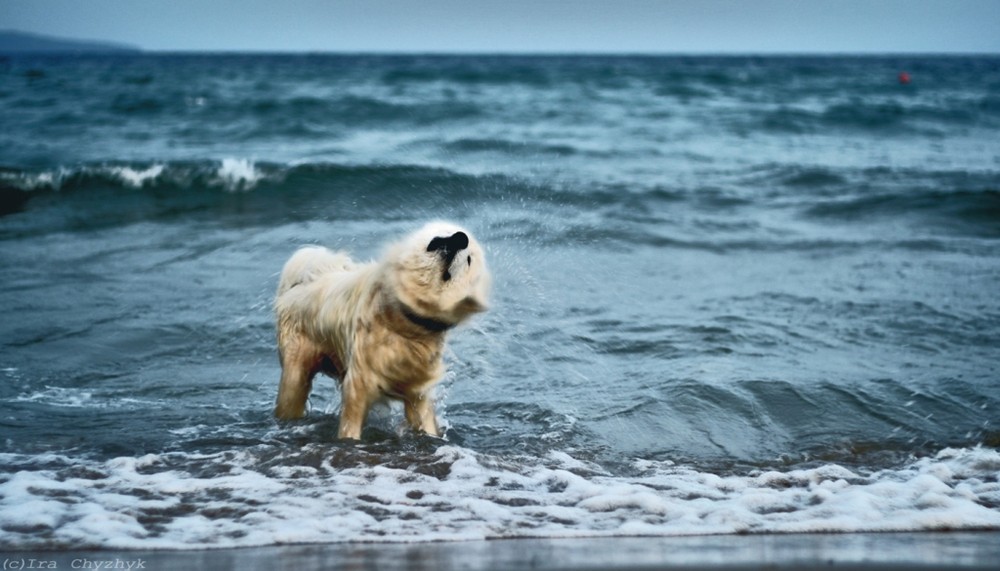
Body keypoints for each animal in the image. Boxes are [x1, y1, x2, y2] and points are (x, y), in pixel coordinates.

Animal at [276, 221, 490, 440]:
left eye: (469, 260)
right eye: (436, 242)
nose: (461, 237)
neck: (405, 323)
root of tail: (298, 284)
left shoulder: (417, 391)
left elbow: (425, 421)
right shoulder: (358, 385)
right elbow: (350, 425)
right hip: (295, 375)